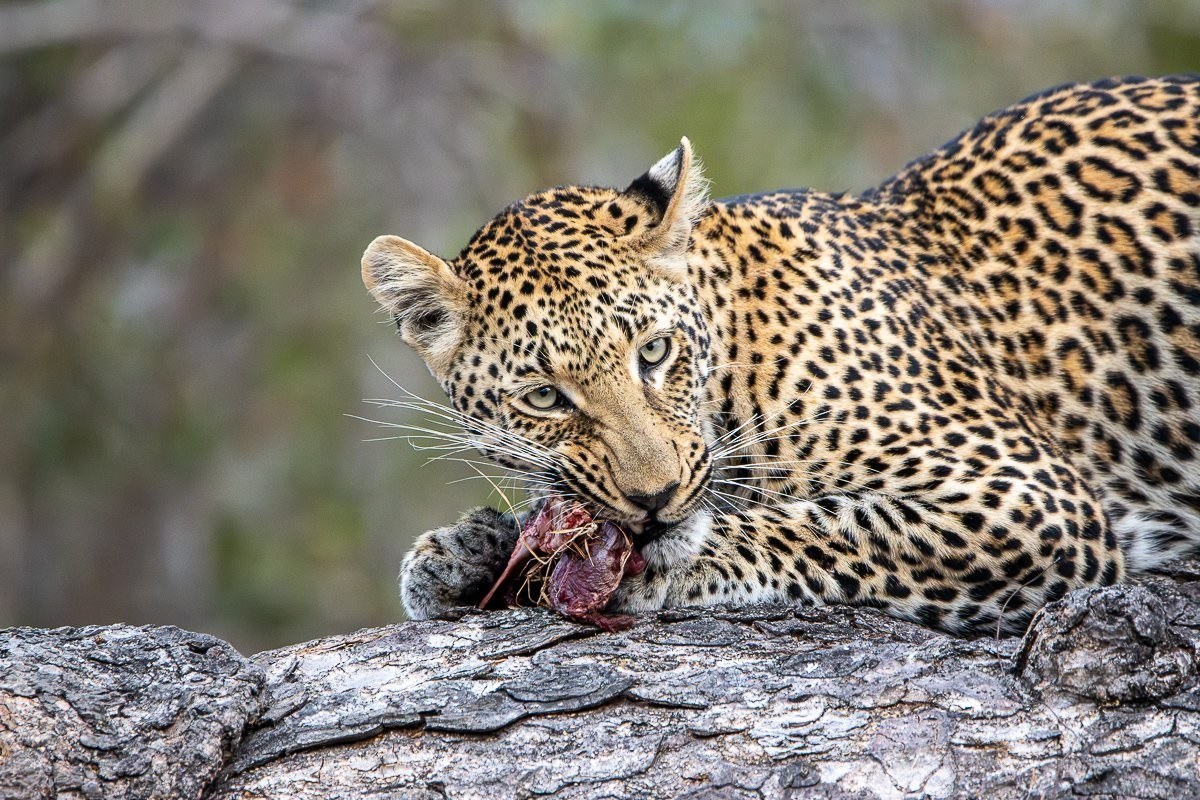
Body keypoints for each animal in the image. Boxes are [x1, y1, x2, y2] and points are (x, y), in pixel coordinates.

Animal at [362, 75, 1200, 635]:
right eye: (544, 397)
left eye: (654, 352)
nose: (654, 500)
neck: (735, 356)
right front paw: (468, 550)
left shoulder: (1022, 498)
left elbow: (824, 526)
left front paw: (665, 557)